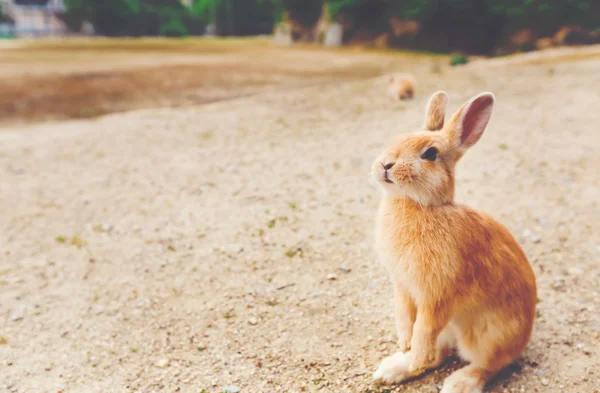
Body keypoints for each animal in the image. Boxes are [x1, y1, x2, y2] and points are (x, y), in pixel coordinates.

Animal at [370, 89, 536, 392]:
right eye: (398, 138)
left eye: (430, 153)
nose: (385, 165)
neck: (422, 205)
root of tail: (522, 339)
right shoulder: (403, 286)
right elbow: (404, 317)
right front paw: (404, 345)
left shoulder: (438, 295)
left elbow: (424, 328)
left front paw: (414, 352)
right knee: (440, 354)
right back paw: (393, 368)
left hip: (484, 337)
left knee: (486, 365)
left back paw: (458, 383)